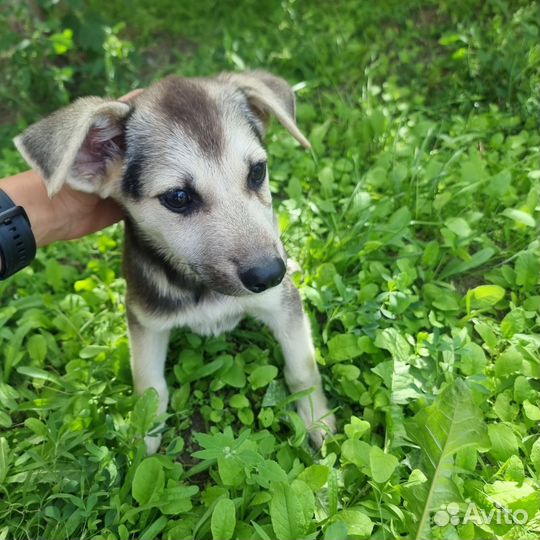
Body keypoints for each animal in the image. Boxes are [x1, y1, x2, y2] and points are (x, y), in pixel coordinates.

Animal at [14, 70, 336, 452]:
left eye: (257, 172)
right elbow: (149, 385)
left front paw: (319, 421)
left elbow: (303, 368)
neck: (203, 286)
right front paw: (143, 442)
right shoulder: (145, 320)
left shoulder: (282, 306)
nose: (270, 274)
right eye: (178, 197)